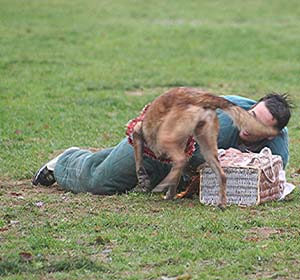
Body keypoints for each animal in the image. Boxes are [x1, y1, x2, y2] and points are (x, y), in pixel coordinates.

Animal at [132, 87, 278, 208]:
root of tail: (200, 96)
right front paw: (170, 194)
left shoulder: (138, 131)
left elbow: (138, 158)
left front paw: (143, 179)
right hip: (207, 147)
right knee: (222, 175)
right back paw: (221, 204)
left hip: (166, 139)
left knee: (180, 160)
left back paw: (162, 184)